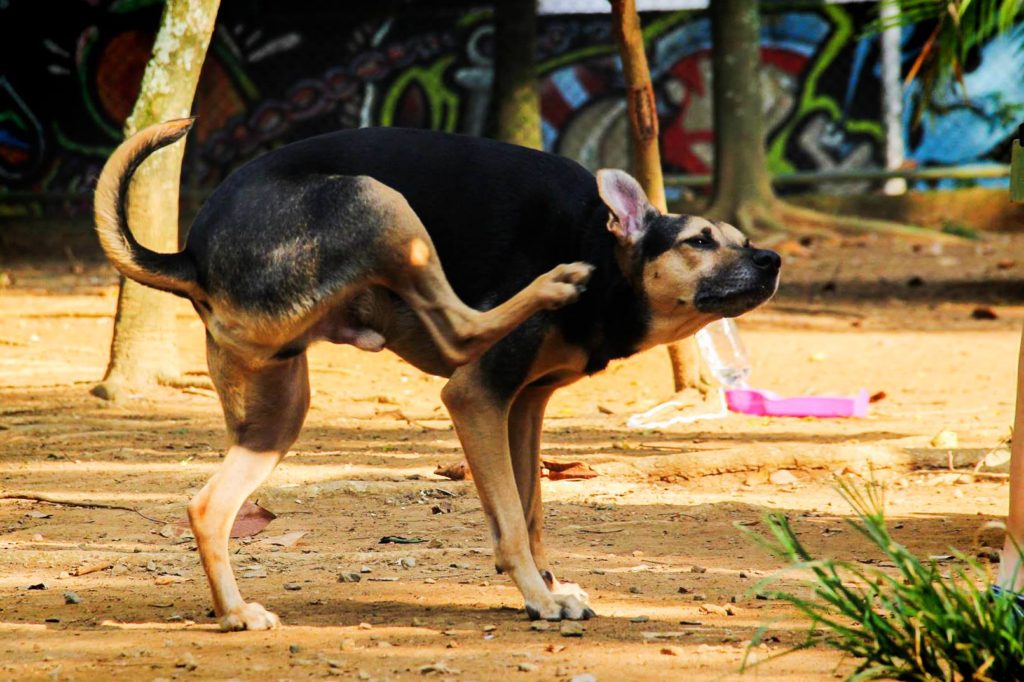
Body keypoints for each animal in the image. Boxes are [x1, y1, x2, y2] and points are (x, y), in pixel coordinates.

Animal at [96, 116, 778, 626]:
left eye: (742, 241)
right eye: (698, 241)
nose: (771, 259)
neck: (607, 252)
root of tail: (192, 252)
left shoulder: (524, 406)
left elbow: (530, 510)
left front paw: (548, 585)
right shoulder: (477, 397)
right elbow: (511, 518)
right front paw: (537, 596)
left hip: (277, 414)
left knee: (207, 506)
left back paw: (235, 613)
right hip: (378, 200)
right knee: (459, 329)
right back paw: (553, 283)